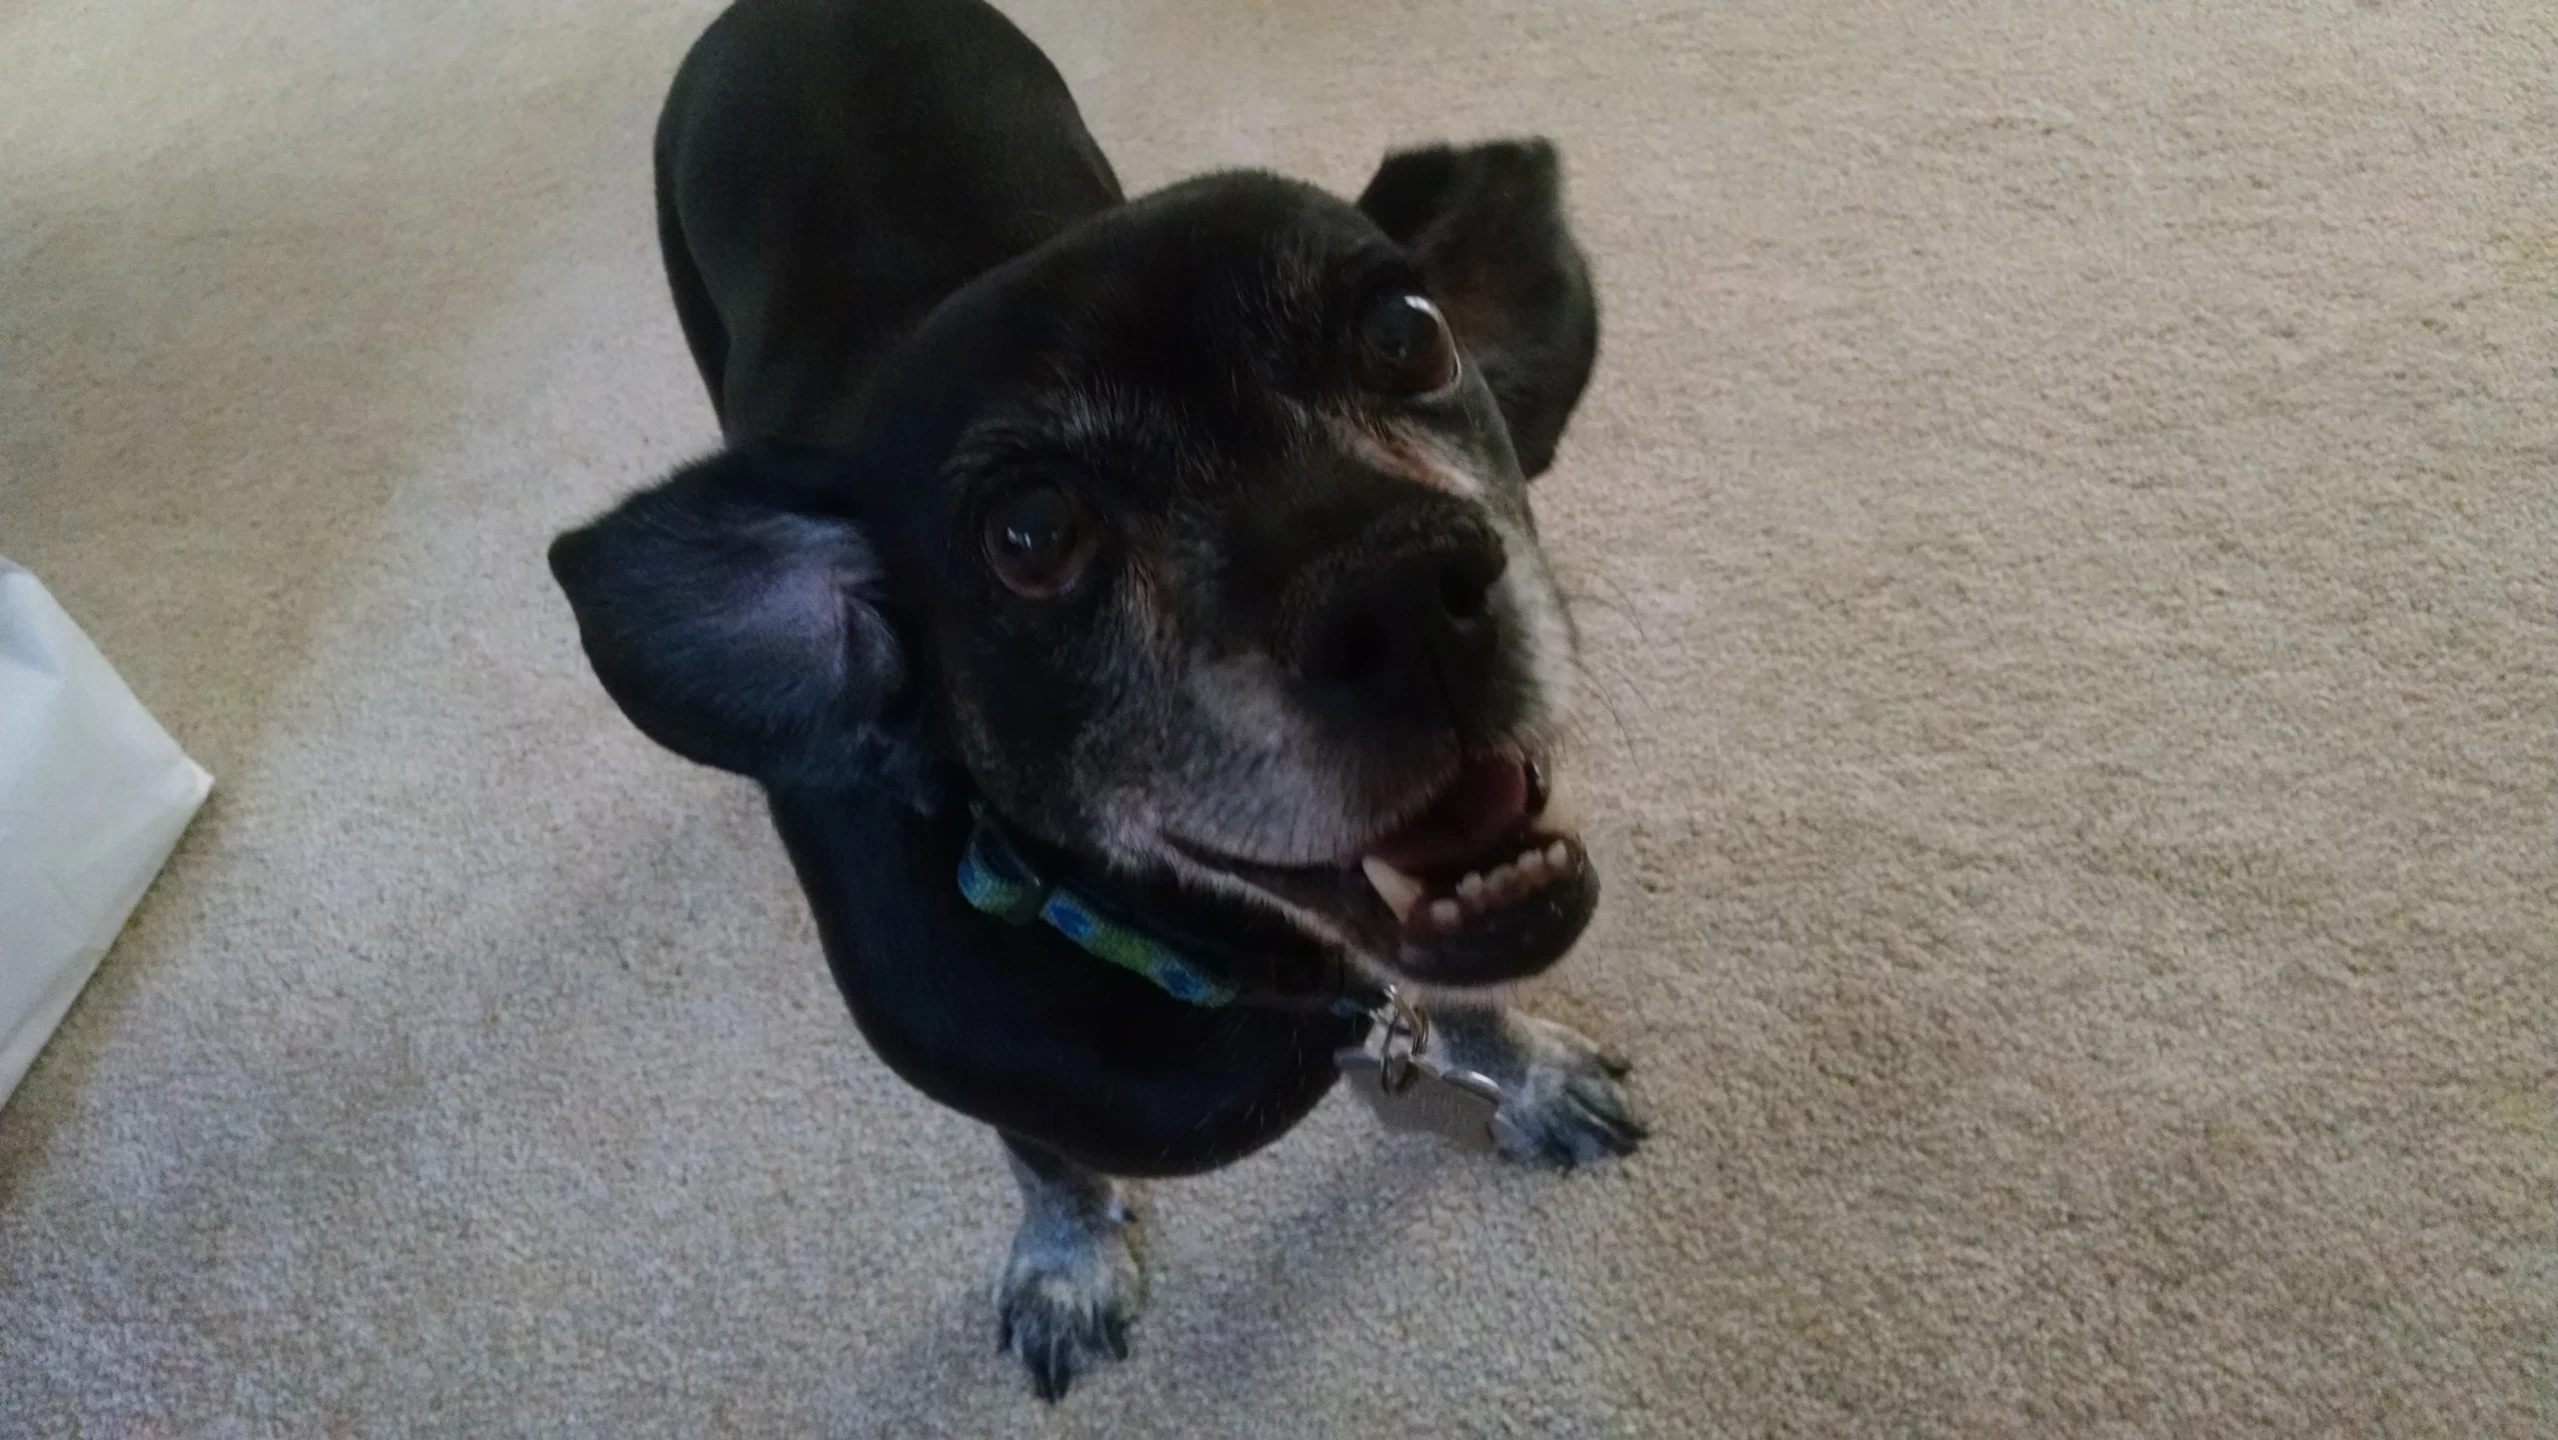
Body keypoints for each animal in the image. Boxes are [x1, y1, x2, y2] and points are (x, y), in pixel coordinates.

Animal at [552, 0, 1647, 1401]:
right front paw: (1066, 1264)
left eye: (1407, 330)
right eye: (1027, 535)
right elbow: (1040, 1154)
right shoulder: (982, 1074)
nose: (1404, 594)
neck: (1187, 948)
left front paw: (1526, 1071)